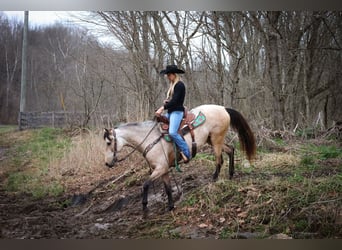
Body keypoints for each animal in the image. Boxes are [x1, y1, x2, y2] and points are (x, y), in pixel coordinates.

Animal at [103, 104, 255, 212]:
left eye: (109, 142)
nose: (107, 163)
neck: (151, 139)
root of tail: (223, 108)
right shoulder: (164, 170)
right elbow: (168, 188)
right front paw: (170, 206)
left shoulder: (160, 168)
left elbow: (145, 184)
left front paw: (145, 205)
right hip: (212, 140)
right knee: (231, 150)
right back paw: (230, 174)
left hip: (216, 139)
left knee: (219, 160)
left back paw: (214, 179)